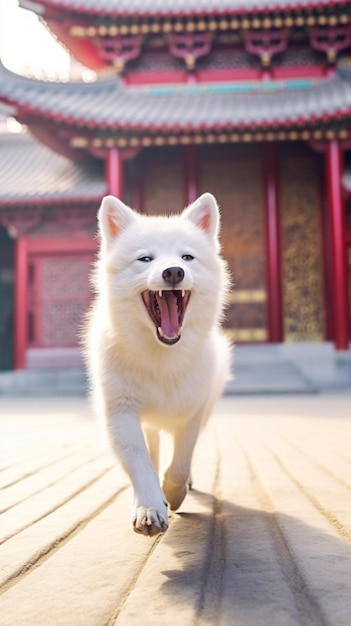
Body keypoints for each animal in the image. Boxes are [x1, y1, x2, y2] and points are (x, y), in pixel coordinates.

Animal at [85, 193, 231, 532]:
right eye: (145, 259)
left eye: (187, 257)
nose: (173, 272)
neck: (161, 360)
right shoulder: (120, 412)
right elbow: (140, 462)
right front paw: (150, 507)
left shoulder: (193, 411)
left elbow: (180, 464)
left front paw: (173, 494)